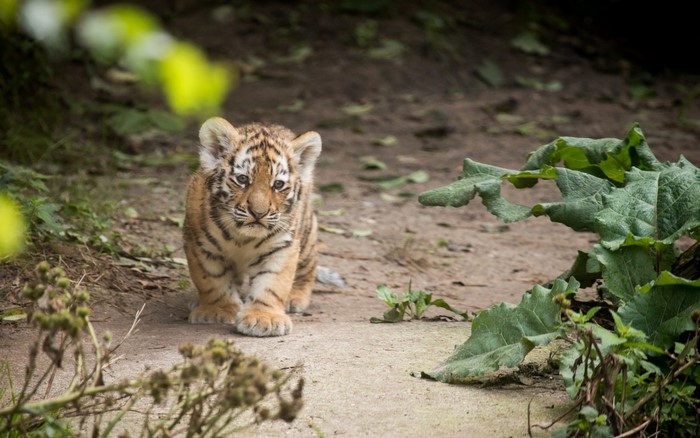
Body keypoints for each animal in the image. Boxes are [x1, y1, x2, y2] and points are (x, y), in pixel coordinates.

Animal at [183, 117, 330, 337]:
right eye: (242, 179)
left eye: (278, 184)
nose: (258, 213)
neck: (242, 238)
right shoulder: (200, 246)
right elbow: (212, 280)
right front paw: (217, 311)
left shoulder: (281, 247)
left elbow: (272, 284)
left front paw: (264, 318)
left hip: (306, 237)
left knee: (307, 268)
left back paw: (295, 297)